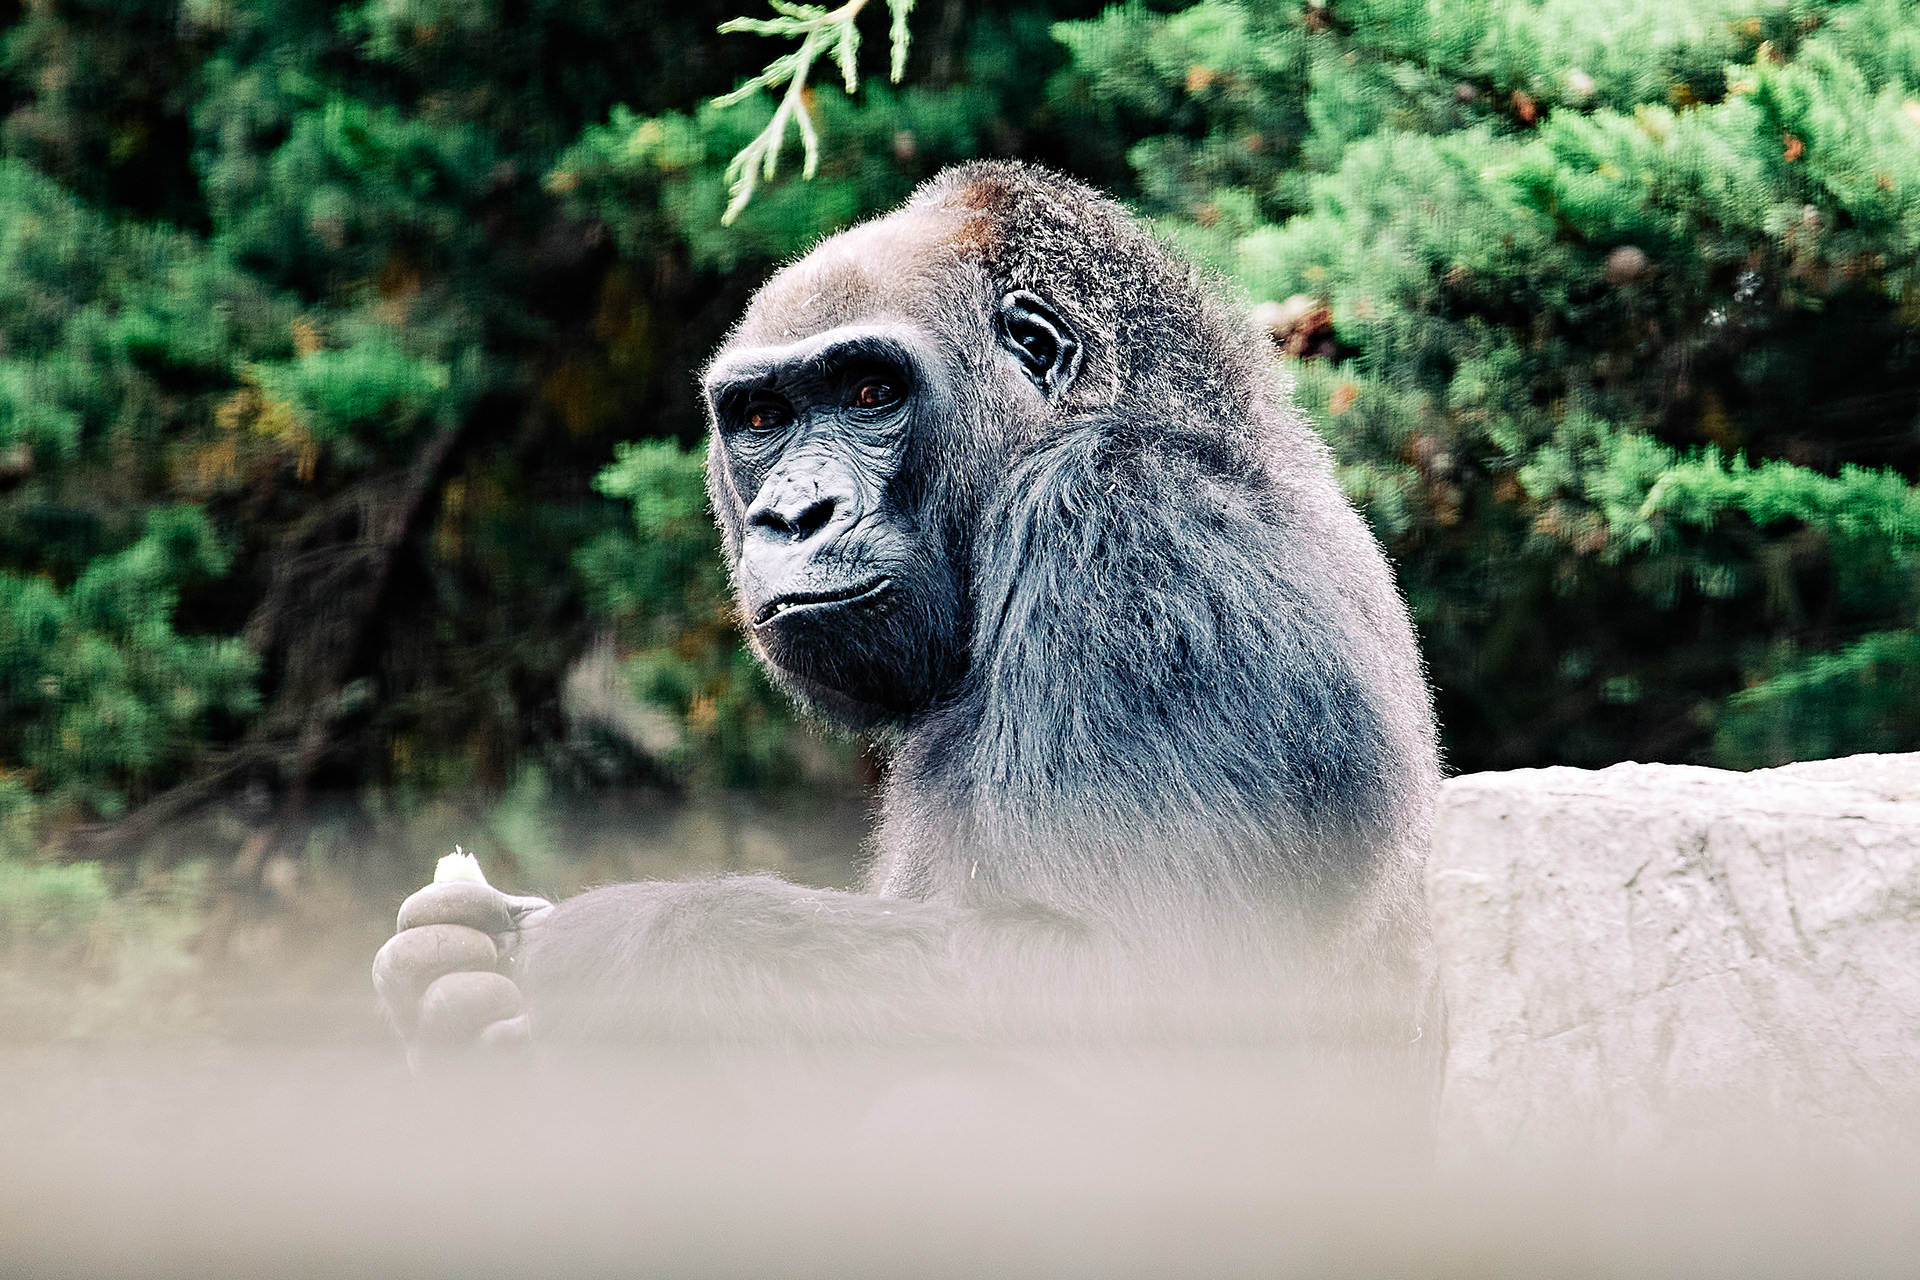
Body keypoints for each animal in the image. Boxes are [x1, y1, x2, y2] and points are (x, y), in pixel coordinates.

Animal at [373, 161, 1442, 1085]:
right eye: (761, 418)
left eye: (871, 393)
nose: (793, 514)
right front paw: (447, 983)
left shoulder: (1130, 530)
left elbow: (1137, 978)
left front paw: (607, 953)